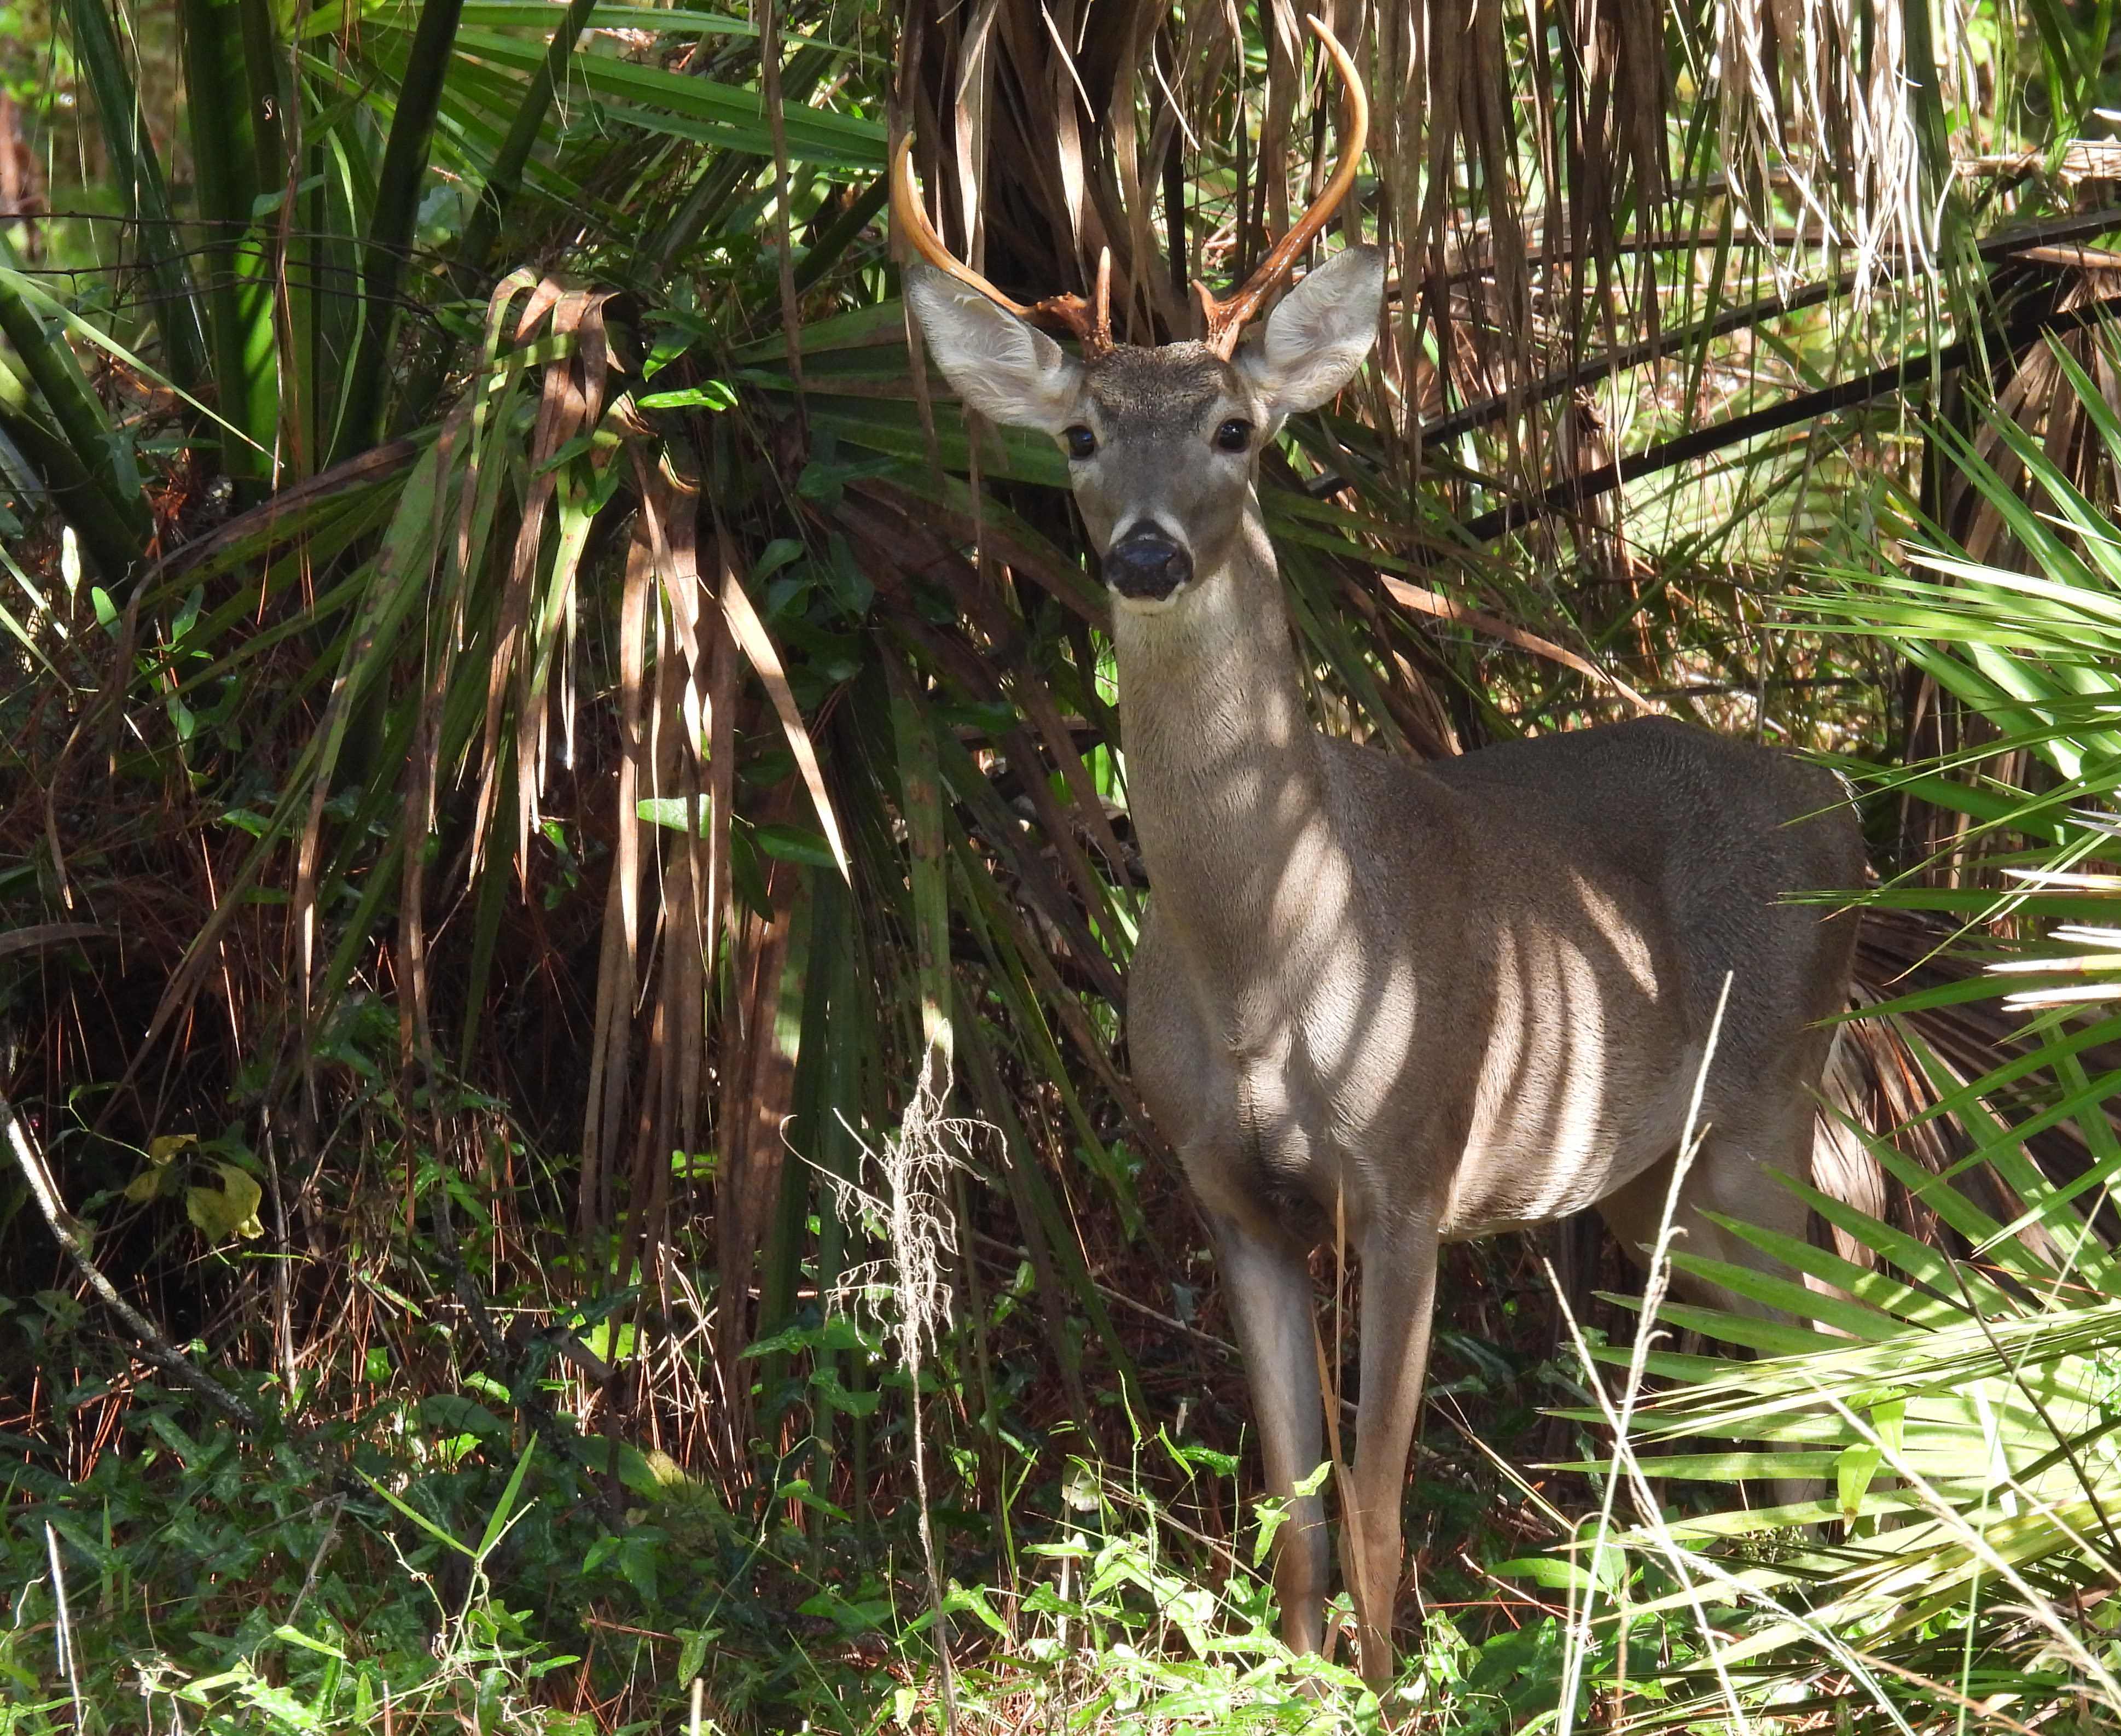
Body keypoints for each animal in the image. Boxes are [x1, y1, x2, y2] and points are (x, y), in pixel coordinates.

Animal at [893, 16, 1866, 1692]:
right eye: (1079, 434)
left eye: (1234, 428)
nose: (1142, 547)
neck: (1267, 959)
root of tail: (1843, 798)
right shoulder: (1223, 1189)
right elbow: (1292, 1506)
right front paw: (1303, 1676)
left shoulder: (1411, 1166)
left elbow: (1375, 1502)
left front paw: (1389, 1680)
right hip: (1650, 1167)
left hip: (1760, 1100)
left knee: (1825, 1345)